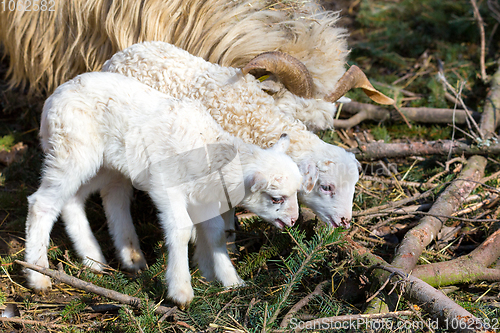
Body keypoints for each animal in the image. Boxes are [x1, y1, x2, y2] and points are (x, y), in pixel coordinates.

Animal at [25, 71, 302, 304]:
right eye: (276, 198)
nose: (293, 221)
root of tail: (53, 97)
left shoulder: (205, 196)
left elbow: (215, 233)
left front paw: (229, 281)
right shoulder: (167, 186)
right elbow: (181, 230)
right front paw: (181, 291)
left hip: (102, 165)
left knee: (77, 200)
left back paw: (100, 259)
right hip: (71, 149)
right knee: (42, 203)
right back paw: (38, 275)